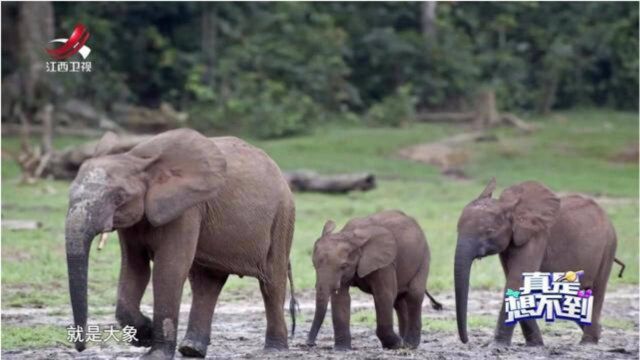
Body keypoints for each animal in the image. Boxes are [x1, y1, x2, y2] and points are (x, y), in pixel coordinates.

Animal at [65, 129, 296, 360]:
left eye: (119, 197)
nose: (80, 347)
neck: (138, 160)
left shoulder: (186, 209)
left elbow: (168, 269)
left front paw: (155, 354)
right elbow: (134, 268)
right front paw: (144, 335)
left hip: (282, 216)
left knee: (272, 282)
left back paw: (274, 349)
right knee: (206, 283)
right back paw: (191, 349)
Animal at [304, 210, 440, 350]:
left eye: (343, 266)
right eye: (314, 265)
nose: (310, 343)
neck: (350, 237)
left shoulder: (385, 264)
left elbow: (383, 295)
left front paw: (395, 344)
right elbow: (341, 298)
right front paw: (342, 349)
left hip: (423, 258)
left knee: (414, 295)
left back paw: (409, 344)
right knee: (399, 300)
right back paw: (404, 342)